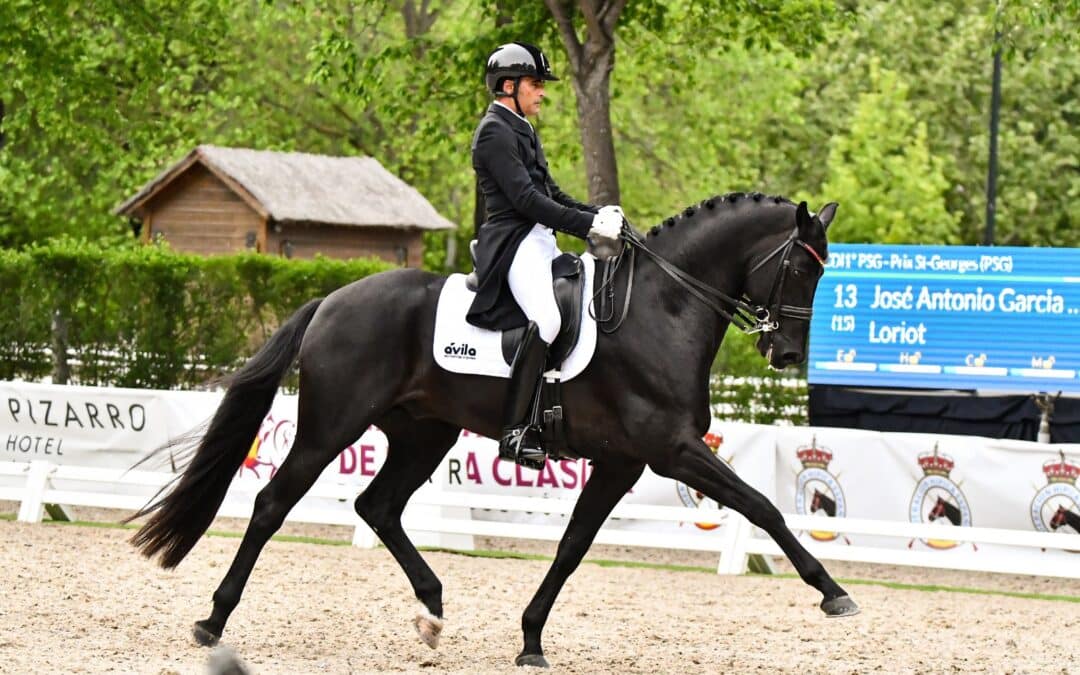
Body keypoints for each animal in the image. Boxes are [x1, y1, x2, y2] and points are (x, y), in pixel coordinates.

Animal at [127, 193, 858, 668]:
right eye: (801, 268)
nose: (786, 353)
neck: (663, 308)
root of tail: (331, 299)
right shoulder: (671, 451)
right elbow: (762, 506)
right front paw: (833, 593)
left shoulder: (624, 461)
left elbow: (572, 546)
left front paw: (531, 639)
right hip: (331, 425)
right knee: (272, 504)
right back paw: (212, 620)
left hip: (425, 434)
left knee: (378, 505)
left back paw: (432, 609)